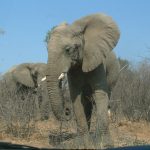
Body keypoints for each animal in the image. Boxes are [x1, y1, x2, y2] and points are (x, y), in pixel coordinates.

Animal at [46, 13, 120, 149]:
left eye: (68, 50)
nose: (67, 111)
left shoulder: (97, 60)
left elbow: (100, 95)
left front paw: (104, 144)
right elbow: (76, 97)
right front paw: (80, 144)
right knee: (87, 104)